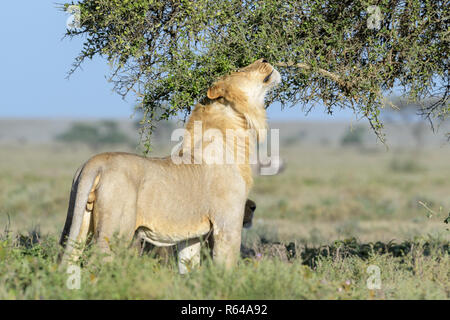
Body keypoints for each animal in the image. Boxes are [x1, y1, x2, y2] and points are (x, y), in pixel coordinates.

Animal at [58, 58, 280, 270]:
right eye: (240, 70)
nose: (264, 59)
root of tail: (95, 163)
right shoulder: (227, 226)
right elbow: (226, 268)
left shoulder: (190, 237)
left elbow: (189, 269)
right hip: (116, 230)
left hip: (77, 221)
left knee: (69, 259)